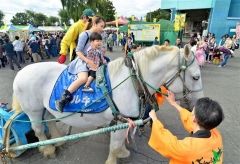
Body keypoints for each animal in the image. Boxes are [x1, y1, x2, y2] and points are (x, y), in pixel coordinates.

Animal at [12, 45, 203, 164]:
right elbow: (116, 144)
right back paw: (48, 149)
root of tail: (21, 73)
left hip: (46, 109)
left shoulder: (126, 121)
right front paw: (115, 157)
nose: (197, 106)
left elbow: (120, 142)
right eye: (195, 77)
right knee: (38, 129)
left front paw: (122, 152)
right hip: (34, 111)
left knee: (50, 122)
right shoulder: (121, 120)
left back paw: (58, 141)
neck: (133, 81)